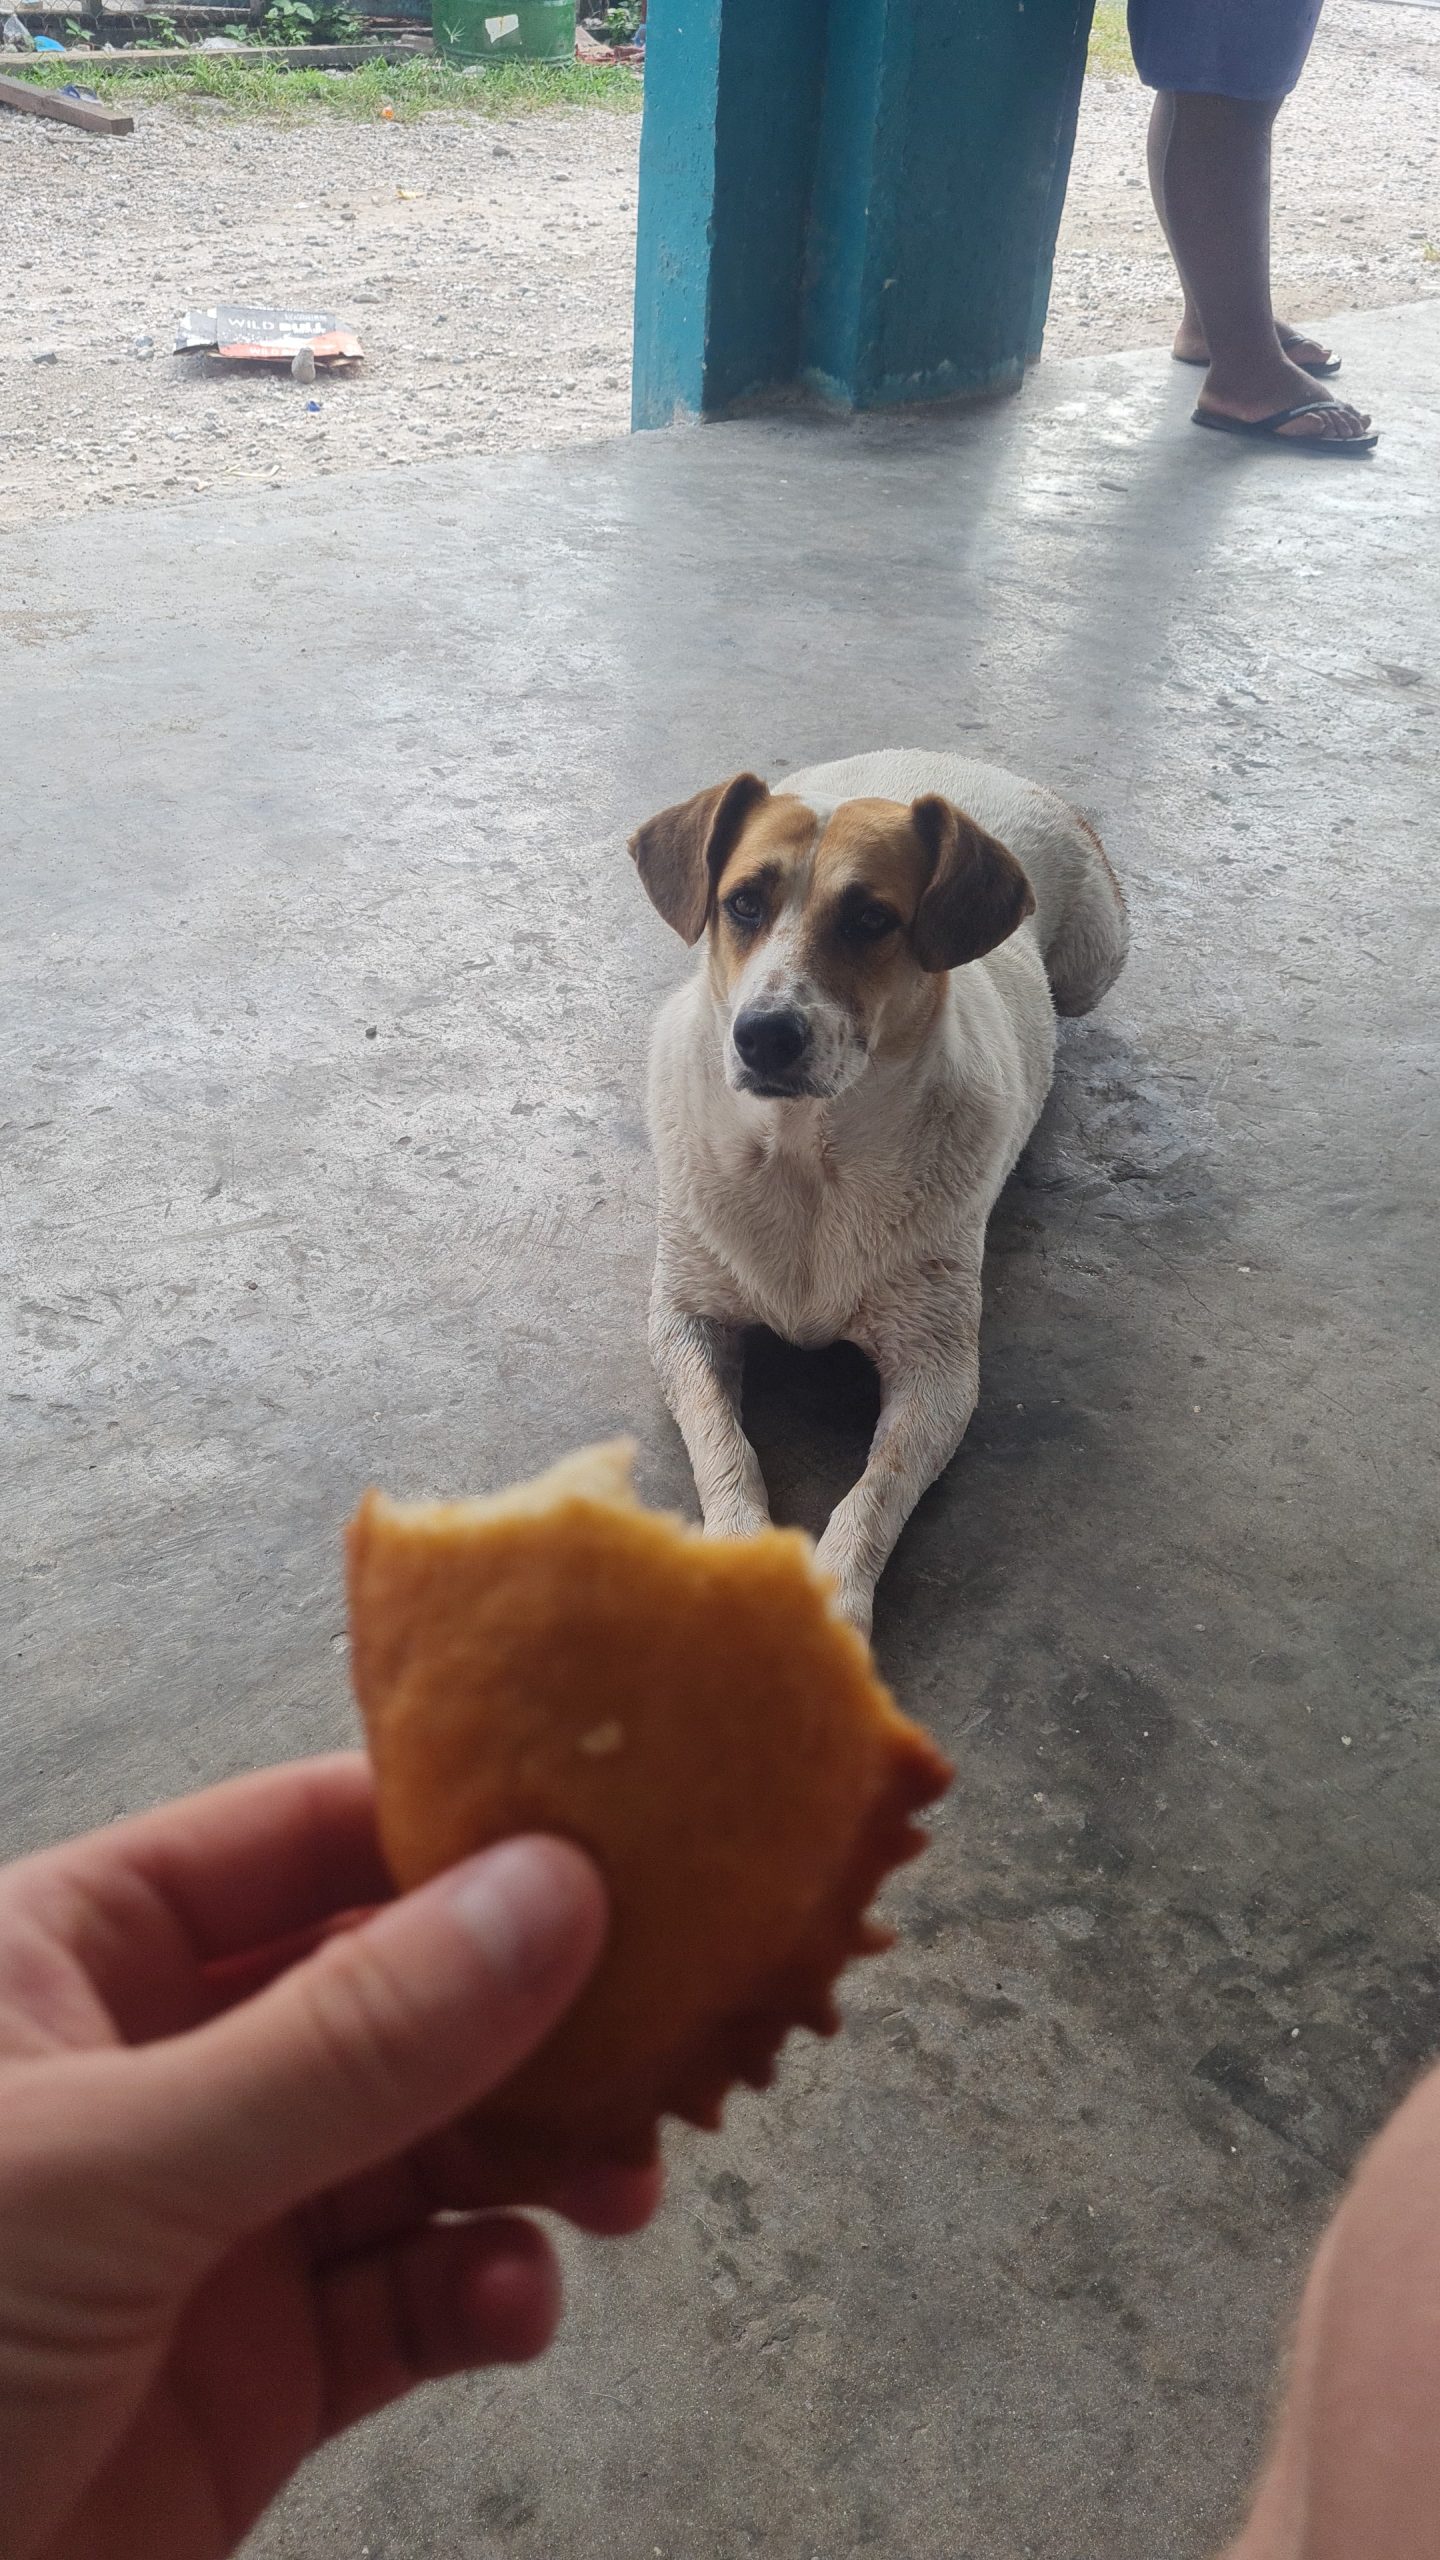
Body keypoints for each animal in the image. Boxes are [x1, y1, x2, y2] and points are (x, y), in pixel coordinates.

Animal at [625, 752, 1122, 1638]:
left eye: (870, 919)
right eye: (742, 903)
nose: (764, 1035)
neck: (806, 1155)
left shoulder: (938, 1369)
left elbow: (878, 1488)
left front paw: (834, 1599)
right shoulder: (684, 1317)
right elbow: (723, 1442)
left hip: (1099, 957)